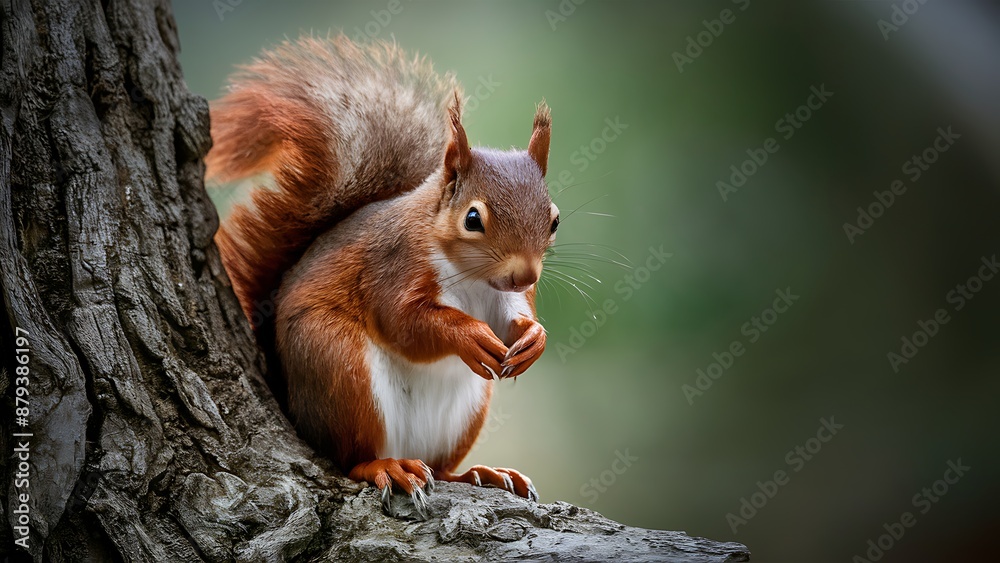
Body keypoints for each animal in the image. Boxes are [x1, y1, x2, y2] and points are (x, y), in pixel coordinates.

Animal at [205, 36, 558, 514]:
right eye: (472, 219)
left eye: (554, 220)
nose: (524, 275)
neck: (471, 278)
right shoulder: (392, 265)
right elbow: (403, 322)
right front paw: (468, 335)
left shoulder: (507, 298)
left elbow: (515, 321)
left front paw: (534, 339)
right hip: (339, 366)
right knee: (350, 458)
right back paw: (387, 467)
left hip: (465, 411)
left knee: (440, 467)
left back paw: (480, 474)